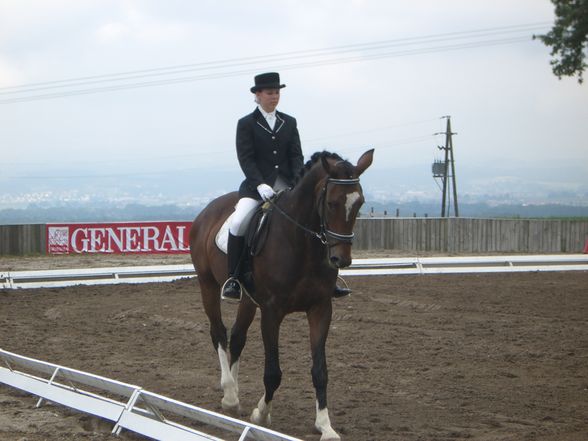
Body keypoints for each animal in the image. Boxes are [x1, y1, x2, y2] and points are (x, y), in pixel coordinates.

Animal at [189, 149, 372, 440]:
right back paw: (229, 394)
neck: (302, 243)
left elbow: (320, 371)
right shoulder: (272, 311)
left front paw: (325, 425)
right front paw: (261, 414)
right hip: (207, 285)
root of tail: (207, 211)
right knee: (218, 332)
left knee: (237, 337)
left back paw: (235, 396)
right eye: (331, 203)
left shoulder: (321, 308)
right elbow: (273, 372)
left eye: (359, 203)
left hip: (248, 299)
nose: (340, 259)